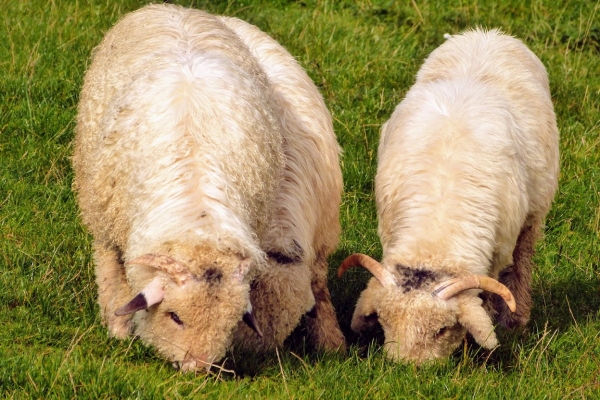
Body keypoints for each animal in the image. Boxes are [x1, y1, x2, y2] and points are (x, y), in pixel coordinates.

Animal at [71, 3, 344, 372]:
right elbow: (115, 275)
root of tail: (177, 9)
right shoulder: (110, 228)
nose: (197, 369)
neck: (197, 212)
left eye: (230, 324)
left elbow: (319, 287)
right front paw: (118, 329)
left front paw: (333, 343)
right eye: (174, 316)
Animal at [340, 29, 560, 364]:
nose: (405, 369)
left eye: (442, 330)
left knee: (523, 258)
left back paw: (516, 318)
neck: (436, 232)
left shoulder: (496, 254)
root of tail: (488, 33)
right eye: (384, 322)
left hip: (534, 214)